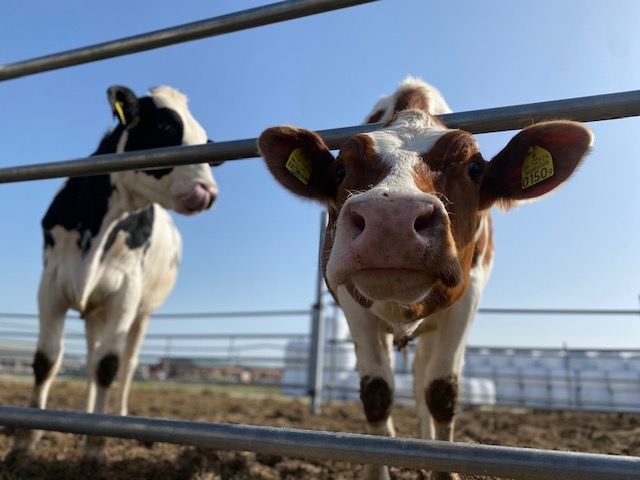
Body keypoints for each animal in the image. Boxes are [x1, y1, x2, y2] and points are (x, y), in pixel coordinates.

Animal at [10, 83, 218, 462]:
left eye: (204, 140)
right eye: (165, 126)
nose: (207, 192)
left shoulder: (125, 293)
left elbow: (109, 364)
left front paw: (96, 446)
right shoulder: (50, 285)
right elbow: (46, 360)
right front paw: (24, 441)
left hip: (141, 314)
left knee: (127, 363)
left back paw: (116, 415)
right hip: (95, 311)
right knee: (91, 359)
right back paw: (85, 416)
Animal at [258, 77, 592, 478]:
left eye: (475, 167)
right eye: (340, 169)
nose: (391, 218)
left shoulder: (467, 299)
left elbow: (440, 392)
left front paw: (441, 465)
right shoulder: (352, 302)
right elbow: (377, 393)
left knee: (421, 378)